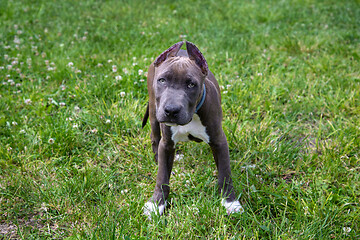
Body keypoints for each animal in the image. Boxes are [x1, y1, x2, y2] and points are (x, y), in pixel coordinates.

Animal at [142, 41, 243, 218]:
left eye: (191, 84)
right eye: (162, 80)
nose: (171, 110)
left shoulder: (219, 141)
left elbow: (224, 173)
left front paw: (230, 202)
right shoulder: (166, 144)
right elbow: (162, 176)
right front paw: (156, 204)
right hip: (154, 111)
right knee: (155, 138)